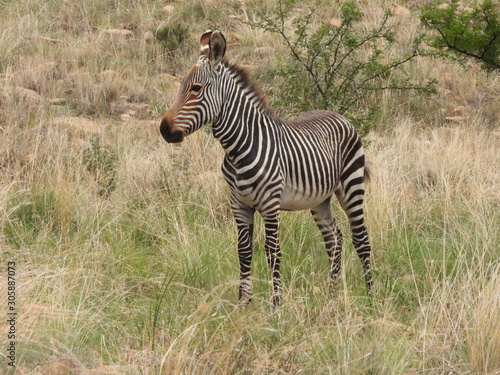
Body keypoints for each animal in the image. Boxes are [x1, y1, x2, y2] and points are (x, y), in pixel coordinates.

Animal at [159, 29, 372, 306]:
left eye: (196, 88)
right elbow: (244, 250)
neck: (237, 149)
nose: (164, 129)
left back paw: (371, 295)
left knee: (361, 238)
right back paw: (331, 295)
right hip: (320, 200)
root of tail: (339, 115)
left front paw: (276, 304)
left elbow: (273, 251)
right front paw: (243, 303)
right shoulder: (239, 204)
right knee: (334, 239)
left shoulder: (270, 204)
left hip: (351, 186)